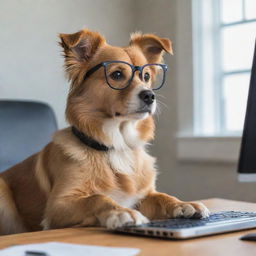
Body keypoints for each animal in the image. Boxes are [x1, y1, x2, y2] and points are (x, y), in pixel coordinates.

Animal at [0, 27, 209, 234]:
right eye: (116, 75)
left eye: (146, 76)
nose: (150, 96)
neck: (116, 145)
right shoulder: (57, 206)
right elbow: (96, 199)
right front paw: (121, 213)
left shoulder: (142, 196)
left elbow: (161, 196)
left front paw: (183, 204)